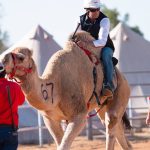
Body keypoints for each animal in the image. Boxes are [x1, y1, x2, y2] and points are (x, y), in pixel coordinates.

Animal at [1, 30, 132, 150]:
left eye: (21, 57)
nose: (2, 63)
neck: (56, 87)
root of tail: (123, 78)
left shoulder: (79, 115)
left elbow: (63, 145)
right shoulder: (50, 119)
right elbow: (60, 143)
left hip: (121, 93)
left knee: (111, 123)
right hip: (103, 107)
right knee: (115, 128)